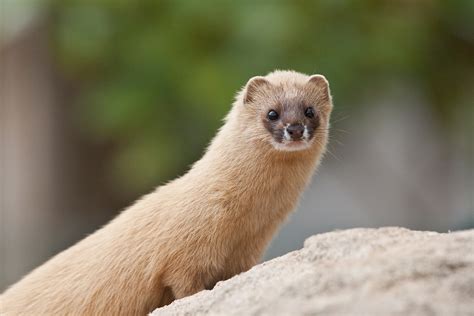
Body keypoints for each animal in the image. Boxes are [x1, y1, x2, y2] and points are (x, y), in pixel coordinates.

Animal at [0, 70, 334, 314]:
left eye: (309, 110)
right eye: (272, 113)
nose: (294, 128)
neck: (246, 223)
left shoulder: (247, 254)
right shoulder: (182, 254)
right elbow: (184, 284)